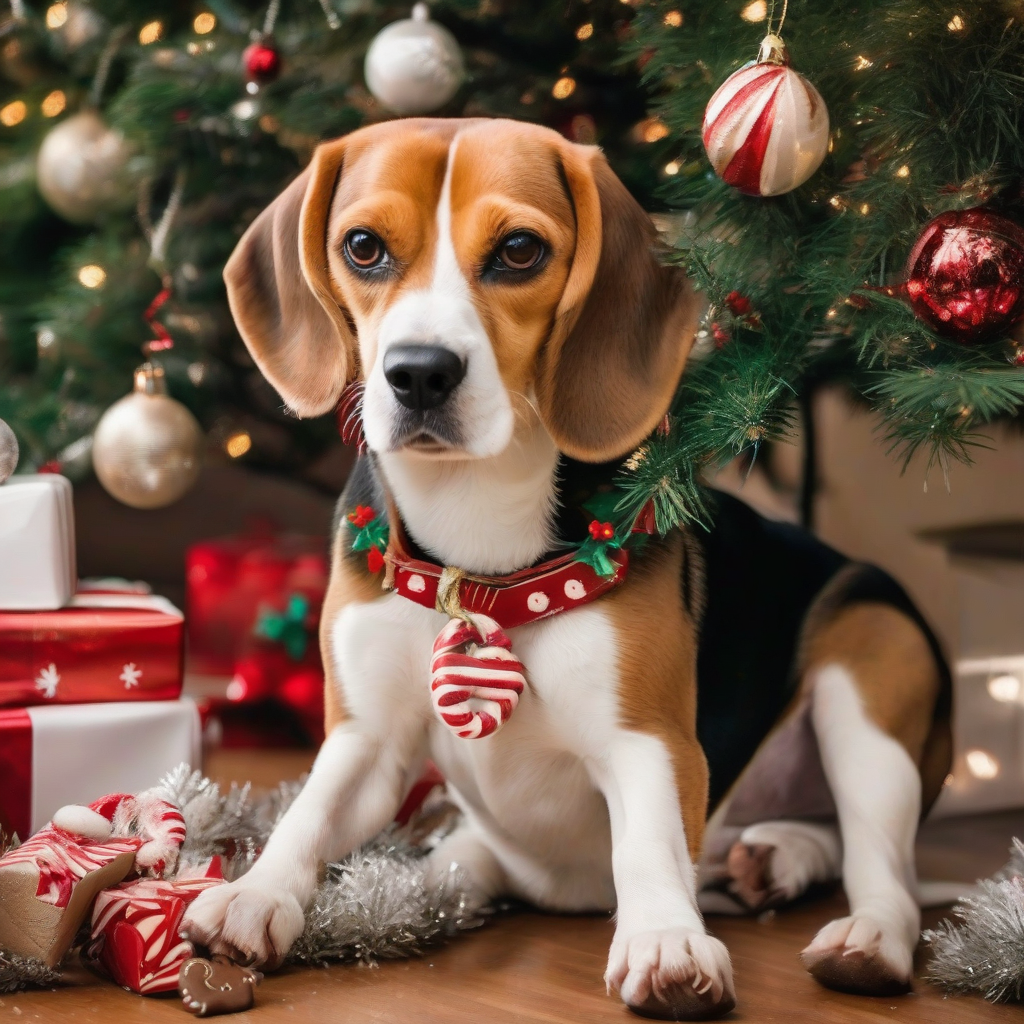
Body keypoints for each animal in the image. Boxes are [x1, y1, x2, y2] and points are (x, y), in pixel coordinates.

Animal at [184, 117, 950, 1015]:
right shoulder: (367, 739)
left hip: (871, 672)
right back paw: (769, 858)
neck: (476, 553)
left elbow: (647, 845)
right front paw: (253, 895)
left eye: (519, 250)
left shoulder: (647, 740)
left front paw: (666, 942)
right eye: (363, 247)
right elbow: (308, 812)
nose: (418, 373)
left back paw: (864, 938)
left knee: (885, 870)